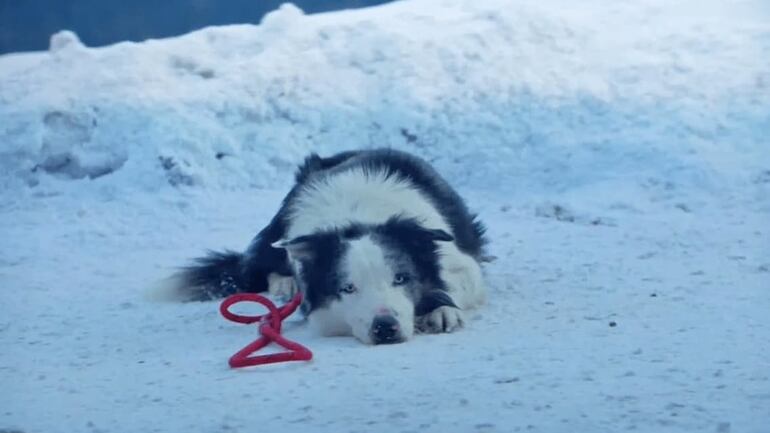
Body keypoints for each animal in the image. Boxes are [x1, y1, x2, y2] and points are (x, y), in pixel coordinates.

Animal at [172, 148, 486, 344]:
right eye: (348, 288)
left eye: (401, 278)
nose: (385, 328)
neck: (357, 218)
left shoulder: (460, 259)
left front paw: (441, 309)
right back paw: (285, 284)